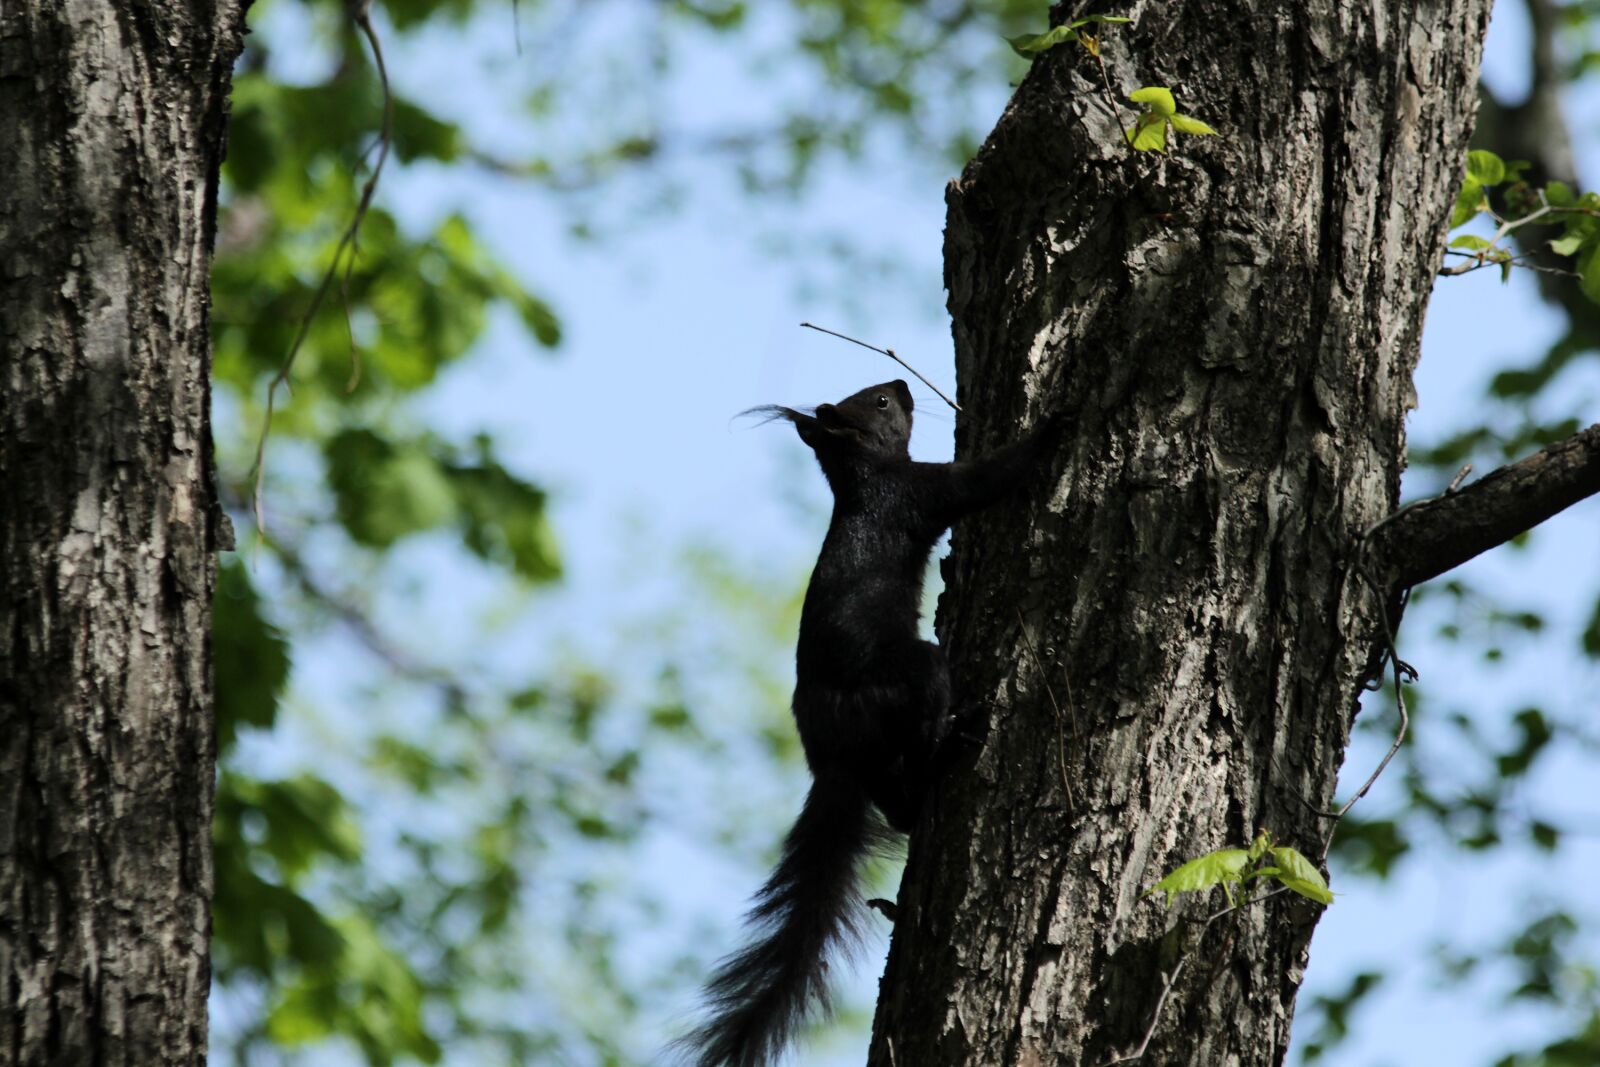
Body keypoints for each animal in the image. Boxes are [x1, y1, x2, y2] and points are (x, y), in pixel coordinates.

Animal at [678, 379, 1062, 1067]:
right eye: (878, 402)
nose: (904, 386)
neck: (863, 479)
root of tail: (833, 757)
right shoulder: (922, 491)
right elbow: (985, 479)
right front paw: (1053, 425)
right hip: (908, 678)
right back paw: (952, 745)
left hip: (880, 753)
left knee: (900, 808)